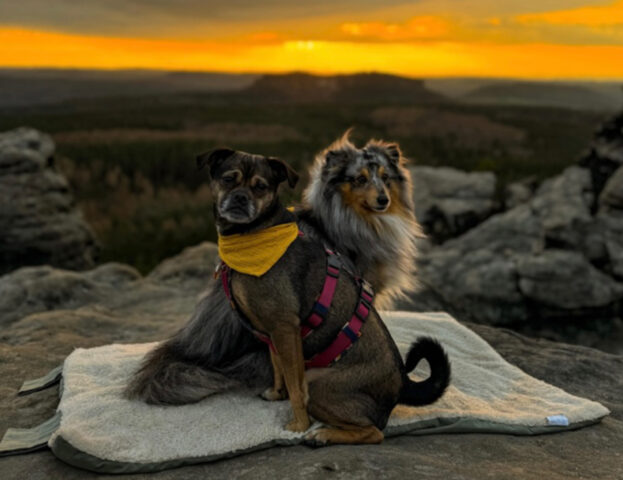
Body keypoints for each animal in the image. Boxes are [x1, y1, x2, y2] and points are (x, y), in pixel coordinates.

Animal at [202, 148, 450, 444]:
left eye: (261, 186)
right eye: (228, 179)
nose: (240, 198)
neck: (253, 234)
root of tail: (402, 385)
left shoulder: (285, 328)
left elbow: (296, 387)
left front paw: (298, 425)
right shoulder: (274, 333)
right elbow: (278, 368)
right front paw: (276, 394)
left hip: (319, 382)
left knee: (374, 432)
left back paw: (322, 434)